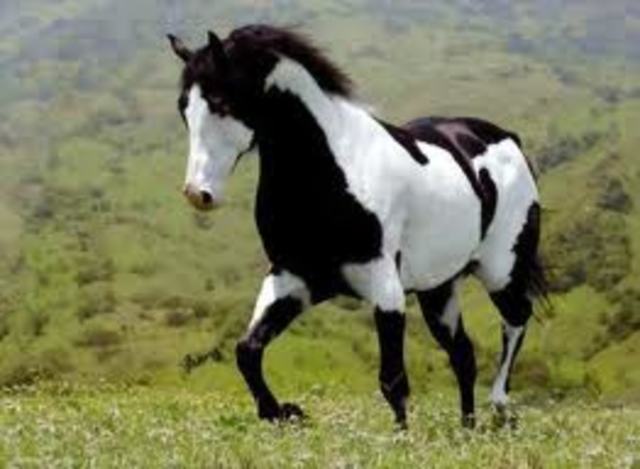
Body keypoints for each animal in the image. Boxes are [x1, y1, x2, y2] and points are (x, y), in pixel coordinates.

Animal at [167, 25, 547, 428]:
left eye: (221, 103)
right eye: (183, 107)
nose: (198, 194)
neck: (333, 172)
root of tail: (507, 138)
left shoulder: (385, 288)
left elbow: (392, 381)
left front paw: (401, 437)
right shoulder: (292, 280)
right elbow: (247, 351)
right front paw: (285, 413)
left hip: (501, 272)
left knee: (516, 320)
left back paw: (500, 405)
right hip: (439, 289)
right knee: (463, 354)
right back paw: (467, 428)